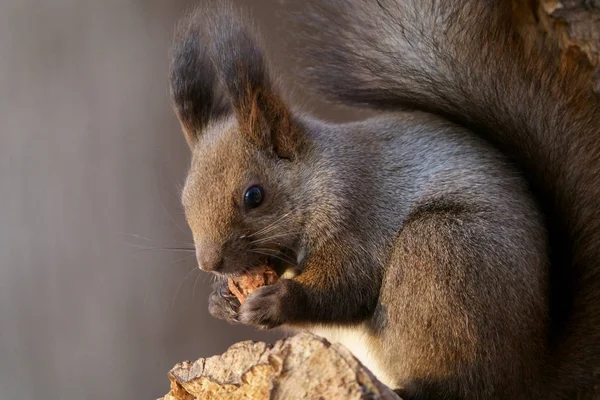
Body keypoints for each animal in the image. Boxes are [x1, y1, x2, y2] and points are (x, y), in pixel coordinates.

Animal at [168, 0, 600, 400]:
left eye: (254, 195)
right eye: (185, 198)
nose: (210, 263)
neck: (322, 178)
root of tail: (531, 376)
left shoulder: (359, 218)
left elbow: (346, 289)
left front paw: (274, 303)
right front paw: (221, 300)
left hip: (440, 255)